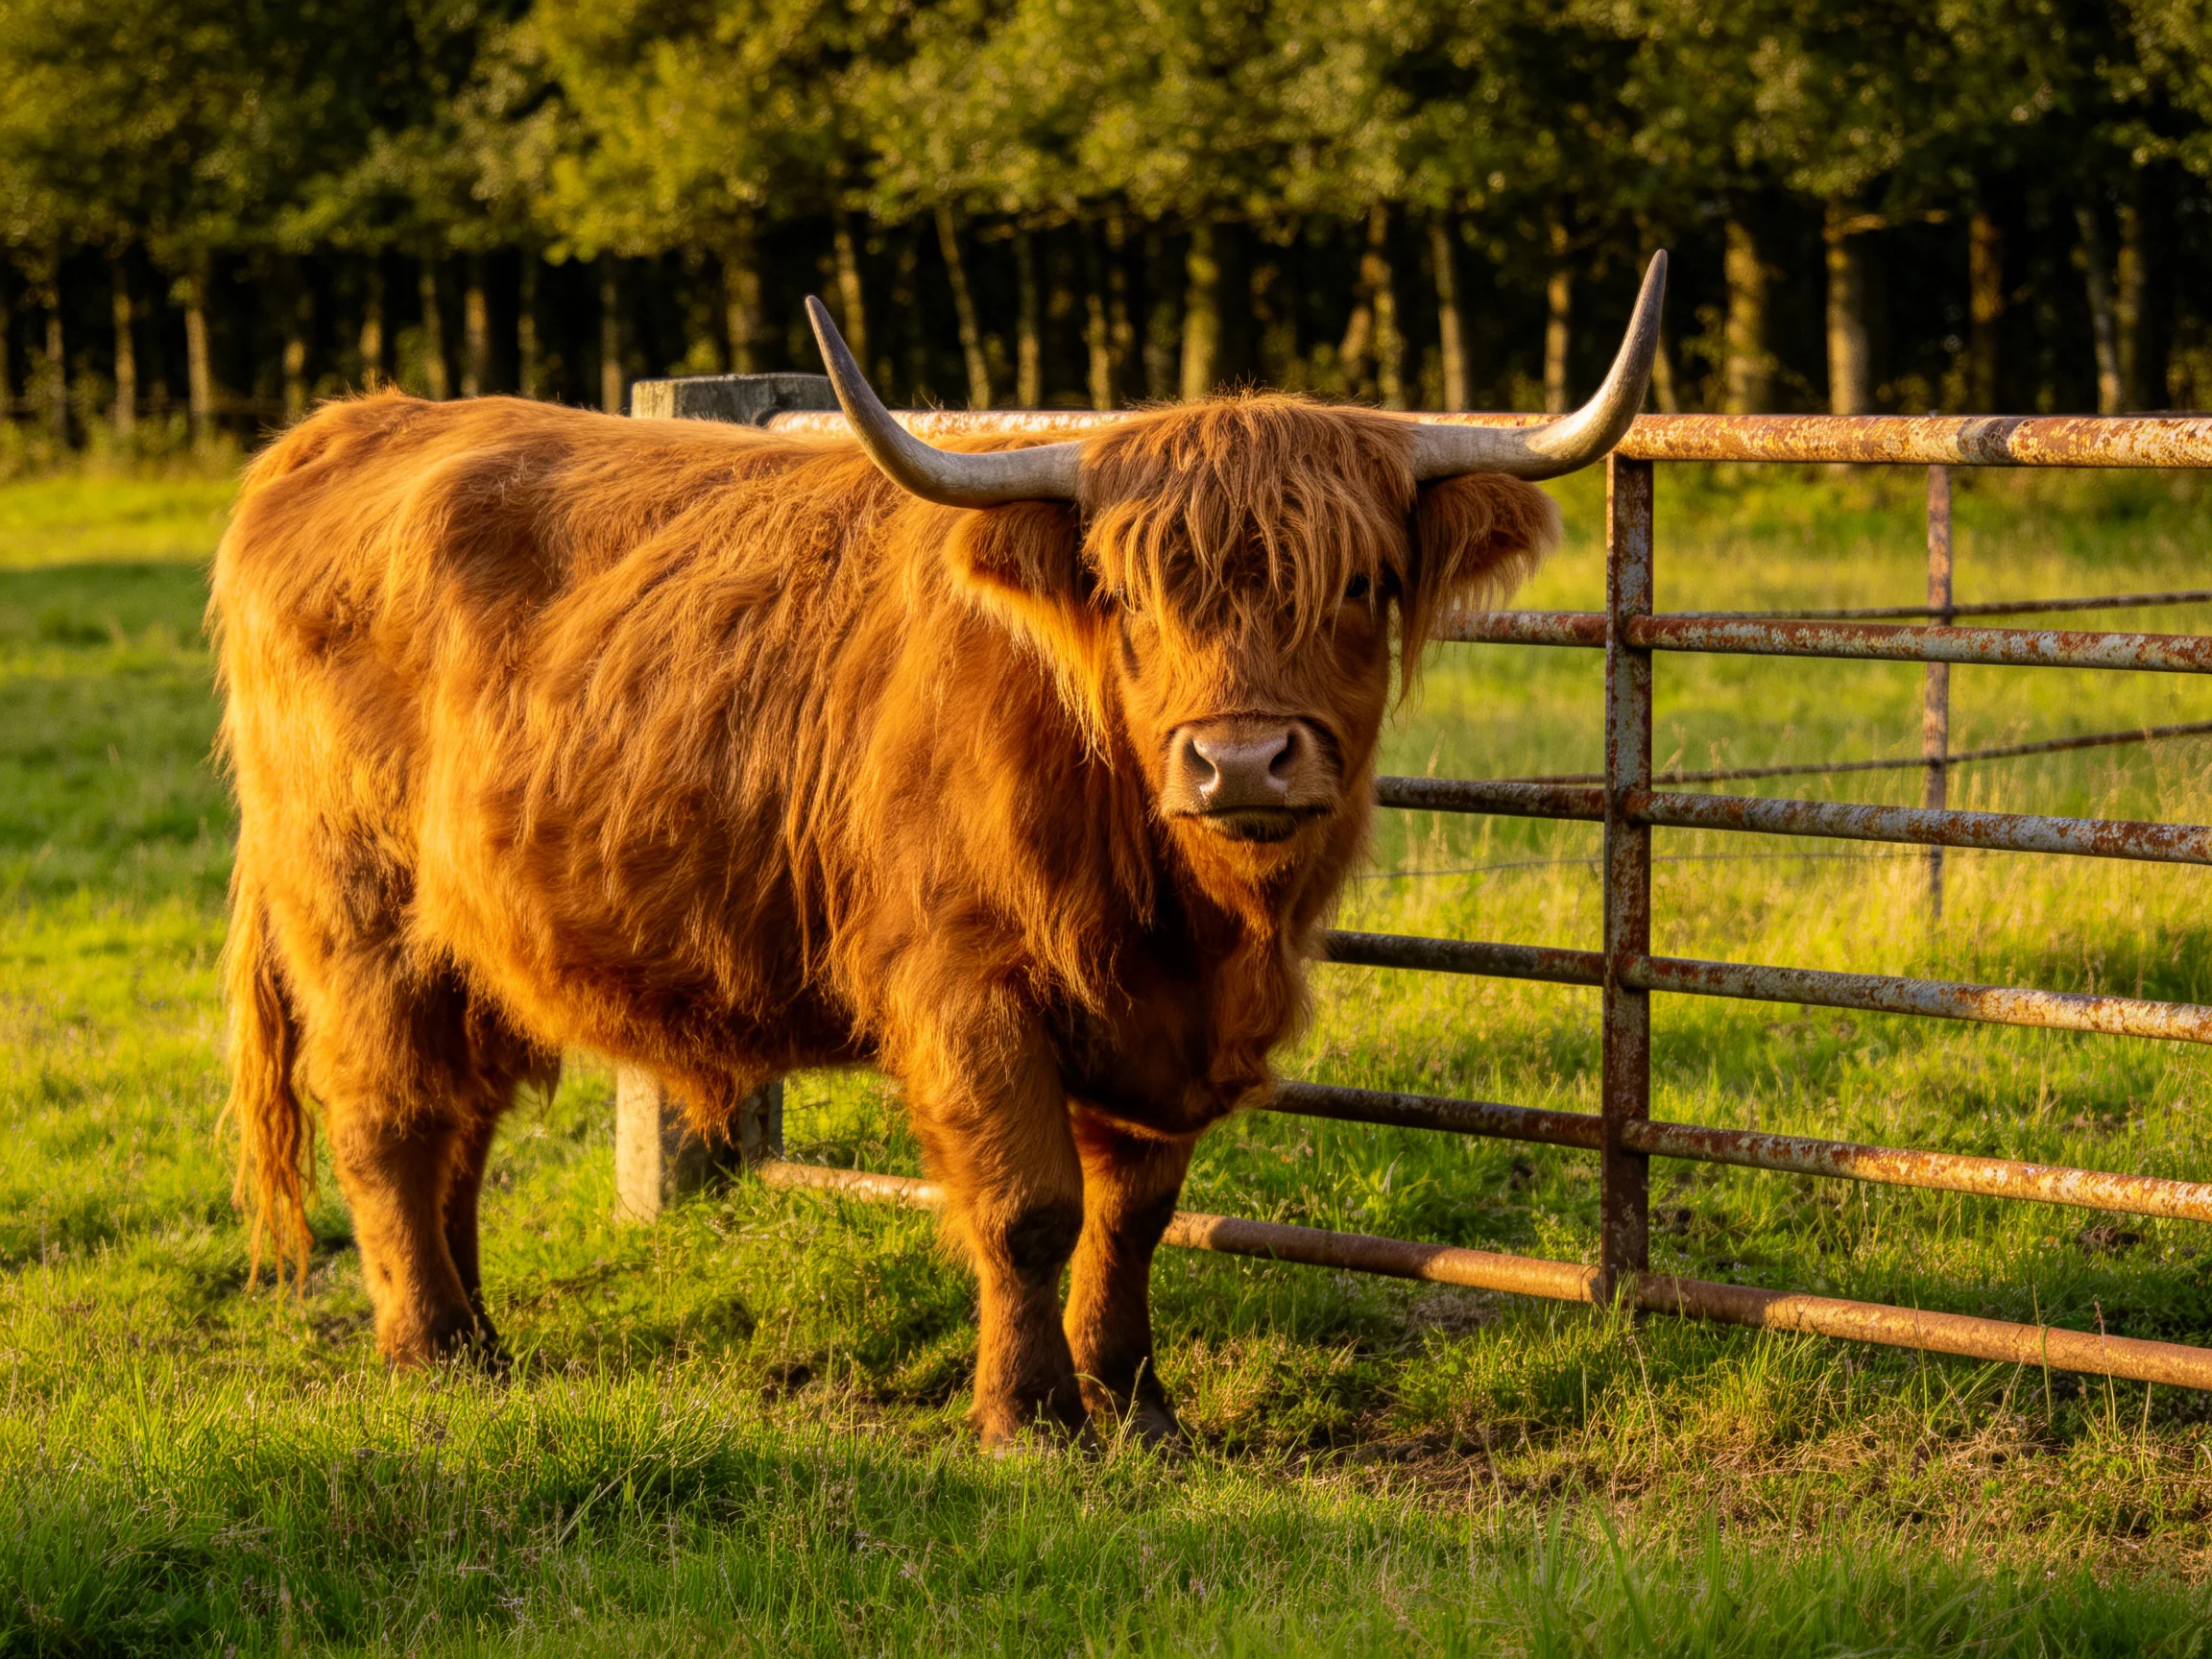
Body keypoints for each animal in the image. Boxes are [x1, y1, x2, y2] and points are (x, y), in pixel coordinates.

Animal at [212, 255, 1663, 1446]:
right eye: (1128, 593)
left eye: (1360, 584)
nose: (1242, 762)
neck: (1187, 914)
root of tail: (359, 423)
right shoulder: (968, 984)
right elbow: (1030, 1210)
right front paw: (1032, 1420)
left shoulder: (1161, 1033)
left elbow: (1133, 1215)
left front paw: (1139, 1408)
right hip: (356, 910)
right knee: (386, 1114)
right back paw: (430, 1348)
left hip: (468, 945)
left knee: (456, 1117)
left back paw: (480, 1337)